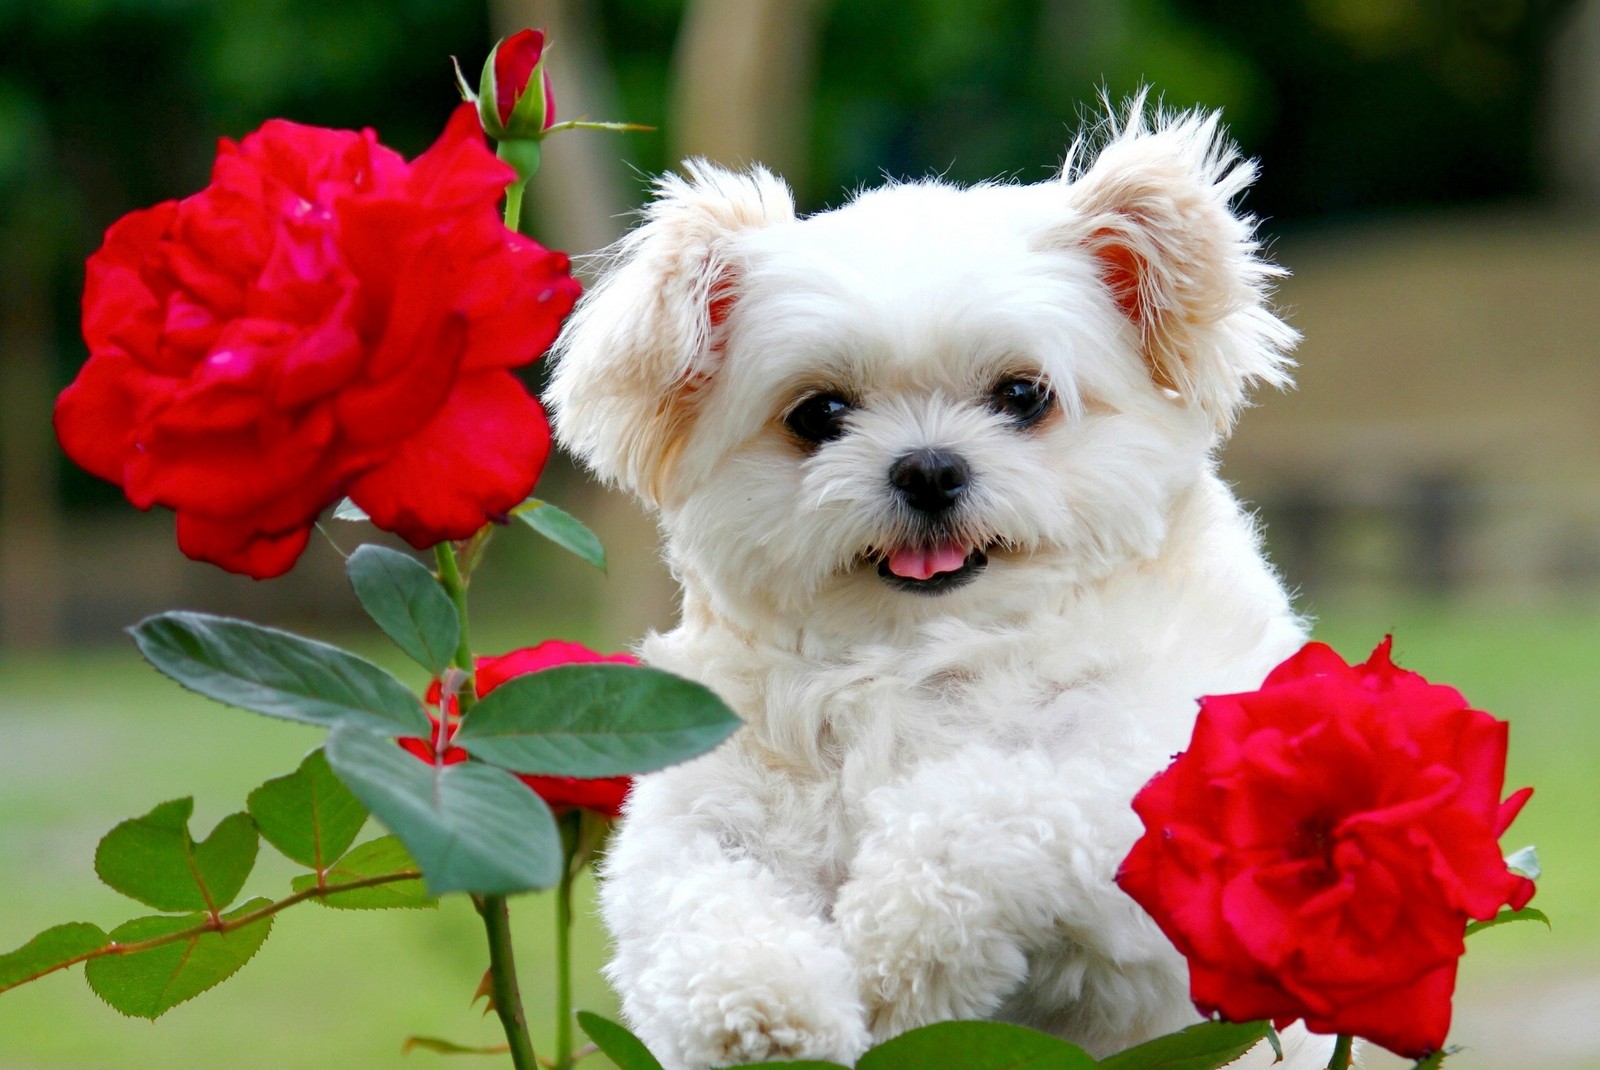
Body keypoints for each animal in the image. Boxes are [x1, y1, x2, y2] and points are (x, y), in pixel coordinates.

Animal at [547, 102, 1324, 1068]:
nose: (927, 468)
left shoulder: (1152, 795)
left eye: (1024, 395)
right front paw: (766, 1009)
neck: (916, 659)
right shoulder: (702, 809)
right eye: (818, 414)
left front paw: (893, 951)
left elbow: (983, 806)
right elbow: (700, 903)